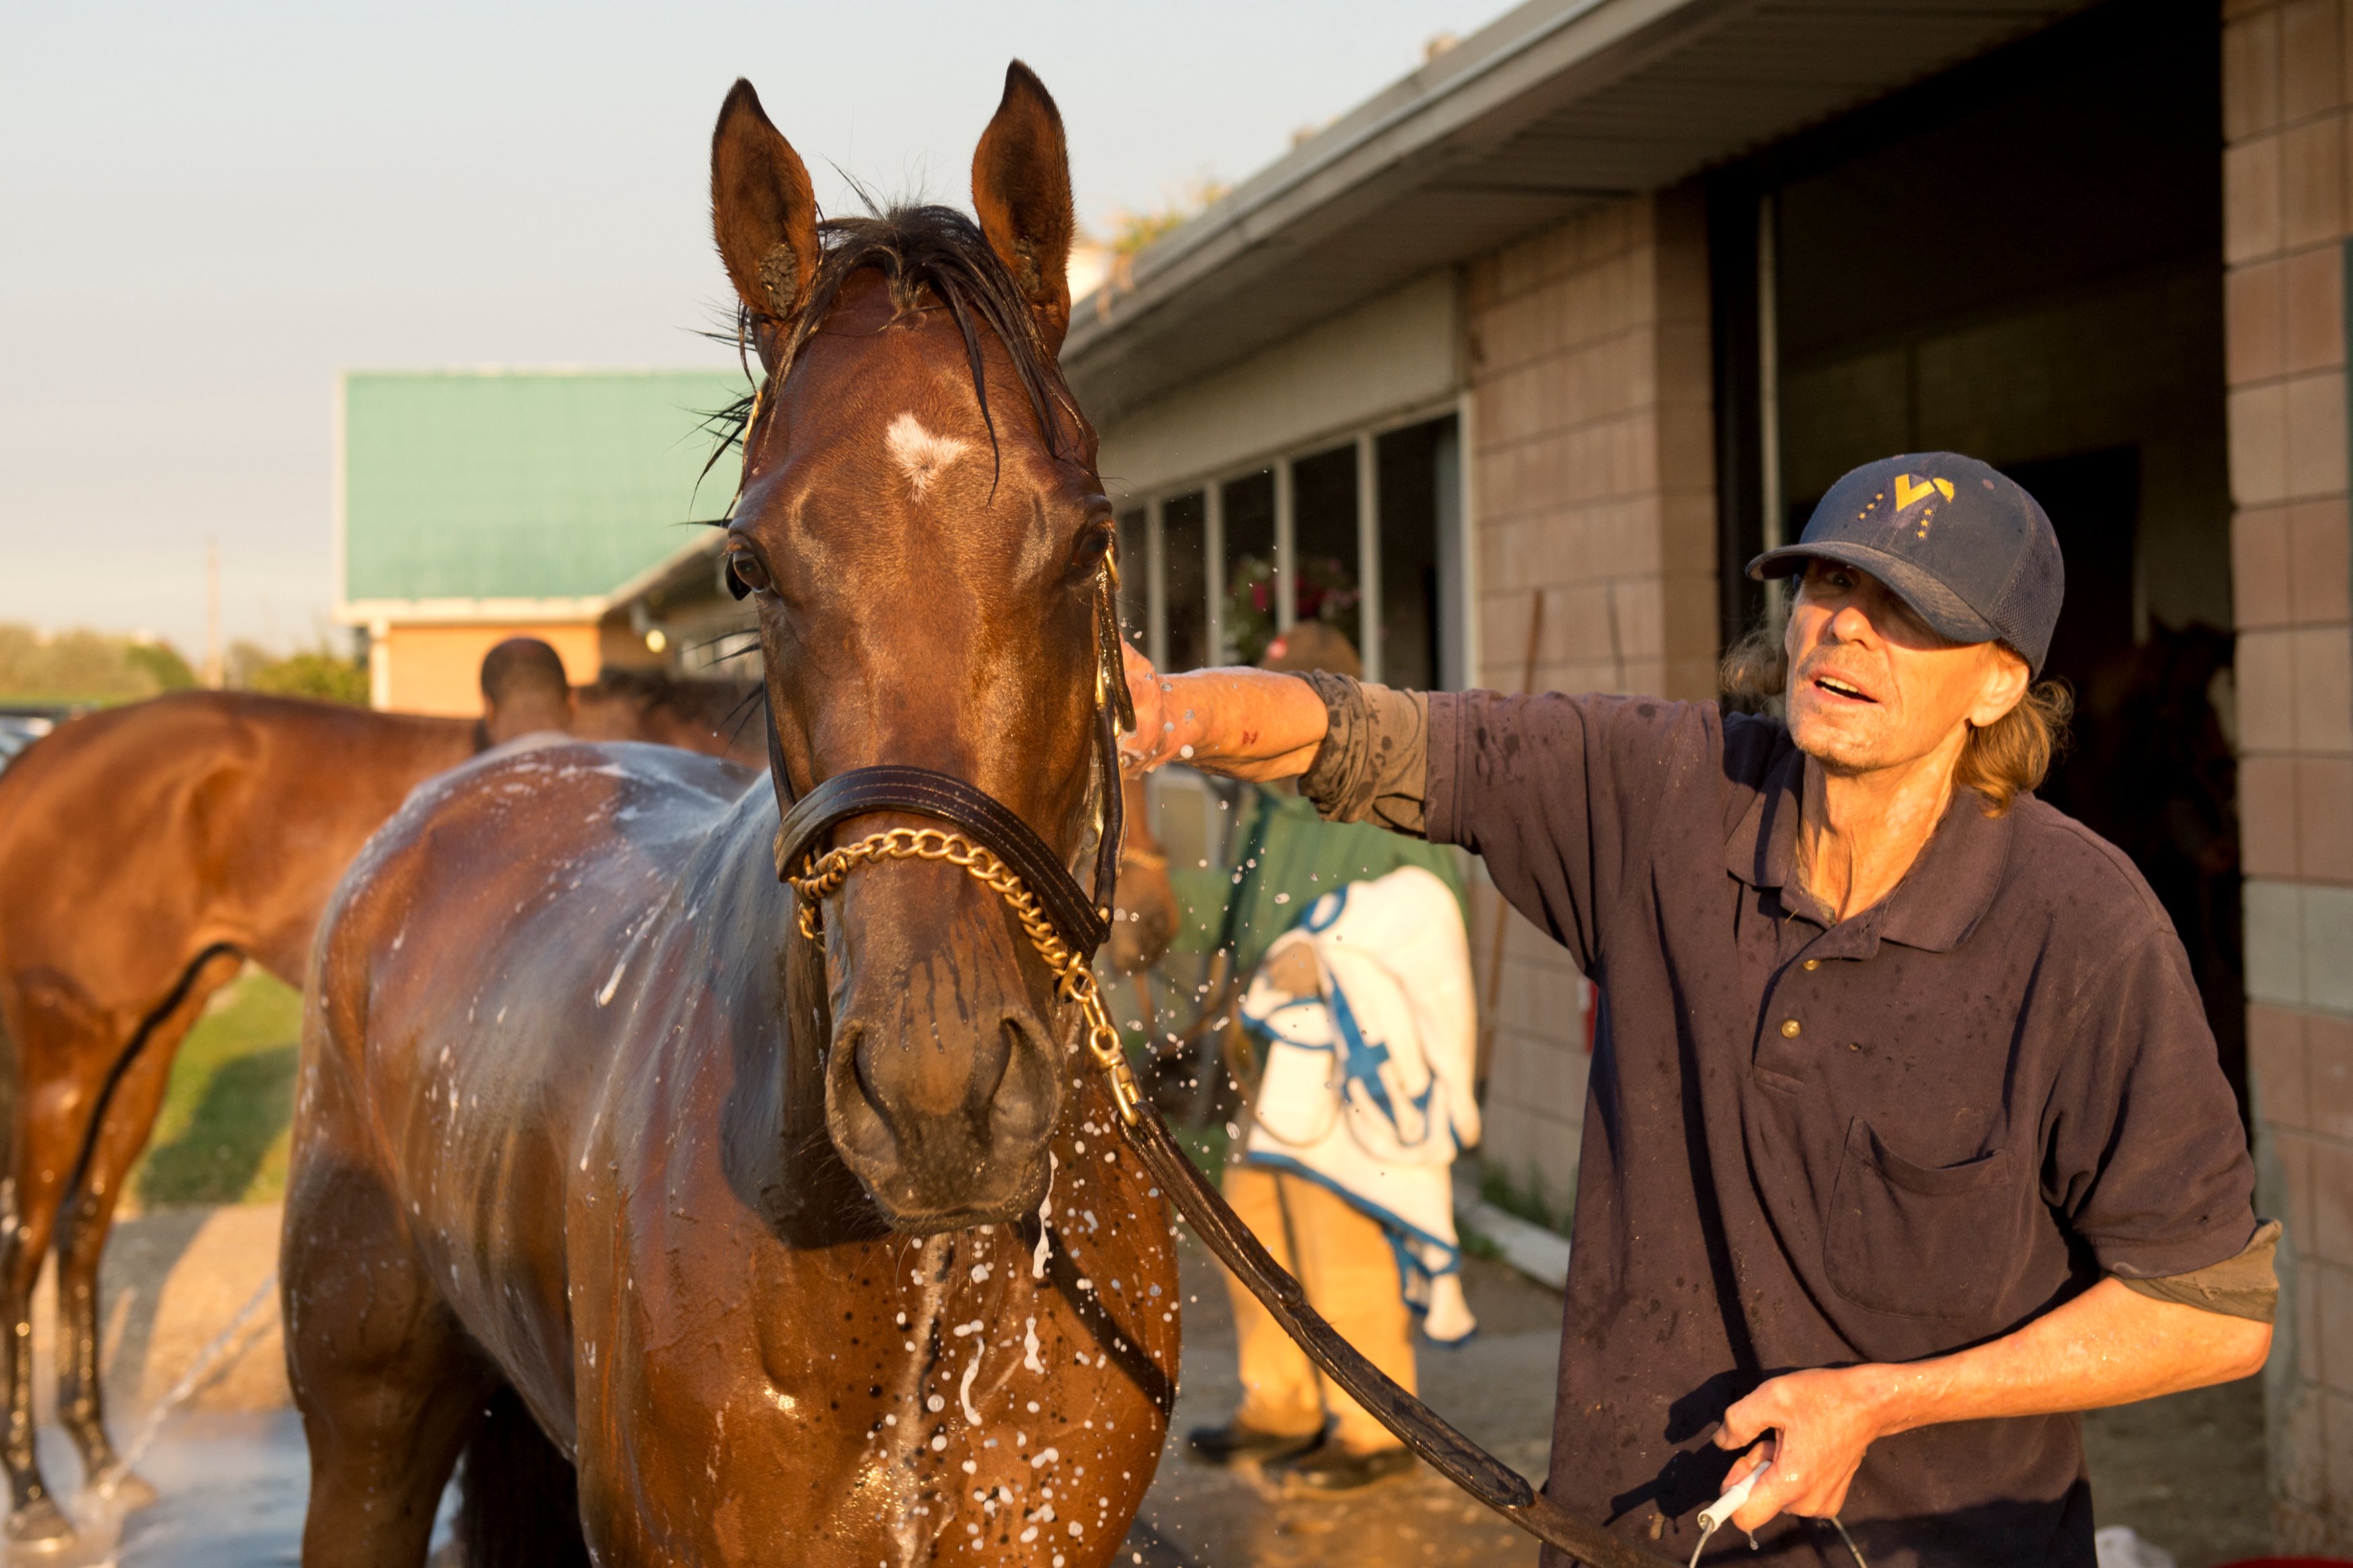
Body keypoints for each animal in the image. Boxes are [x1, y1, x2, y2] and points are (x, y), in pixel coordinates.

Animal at [0, 677, 758, 1542]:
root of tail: (41, 754)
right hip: (66, 1045)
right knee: (24, 1245)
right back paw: (34, 1495)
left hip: (147, 1041)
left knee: (84, 1227)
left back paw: (101, 1462)